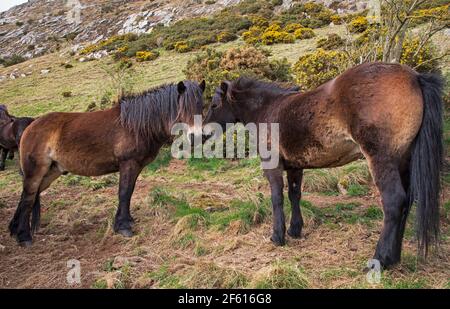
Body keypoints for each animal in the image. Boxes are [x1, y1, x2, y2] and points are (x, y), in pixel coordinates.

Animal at [9, 79, 206, 245]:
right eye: (184, 108)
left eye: (201, 106)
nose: (197, 137)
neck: (135, 126)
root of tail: (30, 126)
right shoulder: (128, 164)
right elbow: (124, 193)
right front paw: (123, 227)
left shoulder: (135, 167)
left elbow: (129, 192)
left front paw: (126, 221)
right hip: (36, 172)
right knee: (28, 197)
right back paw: (24, 237)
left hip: (51, 172)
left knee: (28, 195)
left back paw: (14, 229)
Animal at [206, 61, 444, 266]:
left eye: (214, 104)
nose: (204, 132)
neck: (268, 109)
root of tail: (414, 77)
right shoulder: (295, 167)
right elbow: (294, 195)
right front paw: (295, 230)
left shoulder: (273, 168)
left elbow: (276, 199)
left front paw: (277, 236)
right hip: (403, 161)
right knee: (406, 203)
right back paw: (393, 257)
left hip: (381, 160)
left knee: (394, 202)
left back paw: (380, 258)